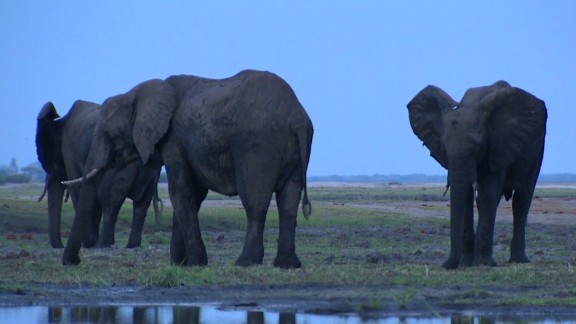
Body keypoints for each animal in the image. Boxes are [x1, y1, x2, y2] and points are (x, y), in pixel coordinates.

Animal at [36, 100, 163, 248]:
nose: (60, 246)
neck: (61, 121)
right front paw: (89, 242)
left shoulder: (69, 152)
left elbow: (79, 192)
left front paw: (88, 243)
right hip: (151, 171)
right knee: (141, 205)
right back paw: (132, 245)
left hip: (118, 167)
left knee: (110, 202)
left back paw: (103, 244)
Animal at [62, 69, 316, 270]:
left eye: (110, 134)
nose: (73, 261)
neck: (139, 93)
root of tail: (297, 117)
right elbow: (193, 193)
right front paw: (178, 263)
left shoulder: (173, 139)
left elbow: (180, 191)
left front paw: (194, 263)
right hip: (292, 151)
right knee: (289, 200)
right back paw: (287, 264)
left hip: (257, 145)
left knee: (255, 201)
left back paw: (245, 262)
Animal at [408, 80, 548, 268]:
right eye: (443, 145)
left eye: (478, 146)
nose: (445, 265)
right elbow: (467, 196)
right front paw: (467, 263)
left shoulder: (498, 146)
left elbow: (488, 194)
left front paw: (484, 264)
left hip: (537, 147)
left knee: (522, 199)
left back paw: (519, 260)